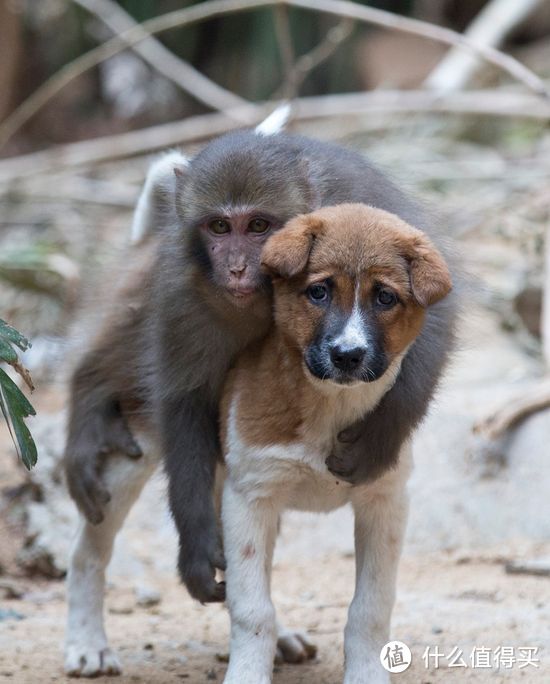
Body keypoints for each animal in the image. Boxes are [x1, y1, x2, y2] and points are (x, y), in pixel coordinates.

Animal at [64, 125, 458, 624]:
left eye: (258, 226)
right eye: (219, 227)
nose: (235, 268)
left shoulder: (368, 213)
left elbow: (436, 317)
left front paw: (378, 439)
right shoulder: (182, 284)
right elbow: (184, 397)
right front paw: (197, 545)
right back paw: (89, 396)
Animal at [220, 203, 452, 684]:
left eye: (385, 298)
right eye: (319, 292)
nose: (348, 355)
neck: (332, 404)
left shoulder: (384, 501)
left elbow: (371, 608)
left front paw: (367, 674)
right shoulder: (249, 496)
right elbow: (251, 608)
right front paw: (248, 674)